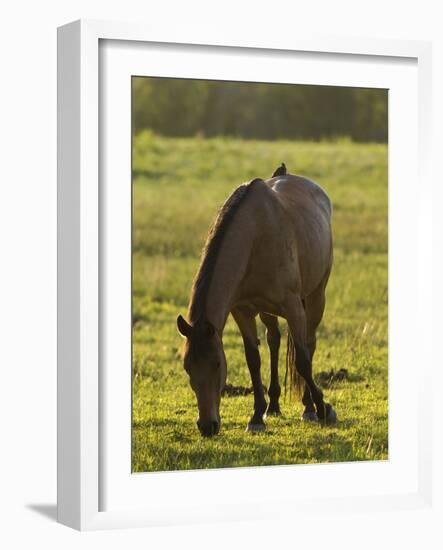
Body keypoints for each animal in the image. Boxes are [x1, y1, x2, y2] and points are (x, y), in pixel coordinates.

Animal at [177, 162, 336, 438]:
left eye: (217, 364)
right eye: (187, 367)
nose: (207, 426)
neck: (254, 238)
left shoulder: (294, 307)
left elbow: (303, 361)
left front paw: (323, 407)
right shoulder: (242, 311)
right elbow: (253, 360)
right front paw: (257, 416)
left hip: (316, 297)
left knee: (309, 343)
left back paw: (308, 407)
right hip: (267, 311)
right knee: (274, 340)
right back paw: (273, 405)